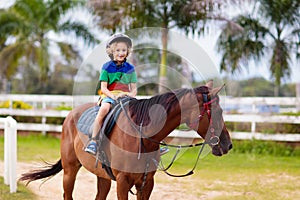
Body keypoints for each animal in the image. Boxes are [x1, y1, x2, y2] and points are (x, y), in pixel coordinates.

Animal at [19, 80, 232, 199]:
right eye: (218, 111)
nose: (227, 145)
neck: (141, 138)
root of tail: (70, 115)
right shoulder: (122, 183)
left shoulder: (146, 184)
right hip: (70, 170)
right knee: (67, 194)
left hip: (103, 177)